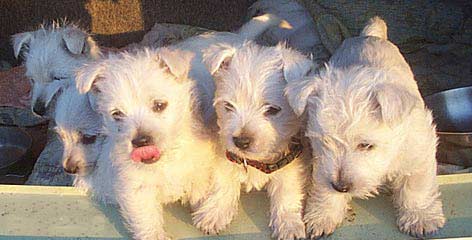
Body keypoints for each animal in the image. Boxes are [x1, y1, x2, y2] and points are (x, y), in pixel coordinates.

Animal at [194, 42, 316, 239]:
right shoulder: (224, 153)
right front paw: (213, 214)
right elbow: (221, 182)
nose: (241, 141)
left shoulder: (292, 161)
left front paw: (288, 225)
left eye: (272, 110)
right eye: (228, 106)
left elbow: (287, 192)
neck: (255, 161)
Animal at [284, 16, 446, 238]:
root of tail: (368, 35)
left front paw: (420, 218)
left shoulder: (417, 153)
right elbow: (323, 187)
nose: (341, 187)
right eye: (324, 141)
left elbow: (415, 187)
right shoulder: (323, 164)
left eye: (366, 145)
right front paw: (323, 216)